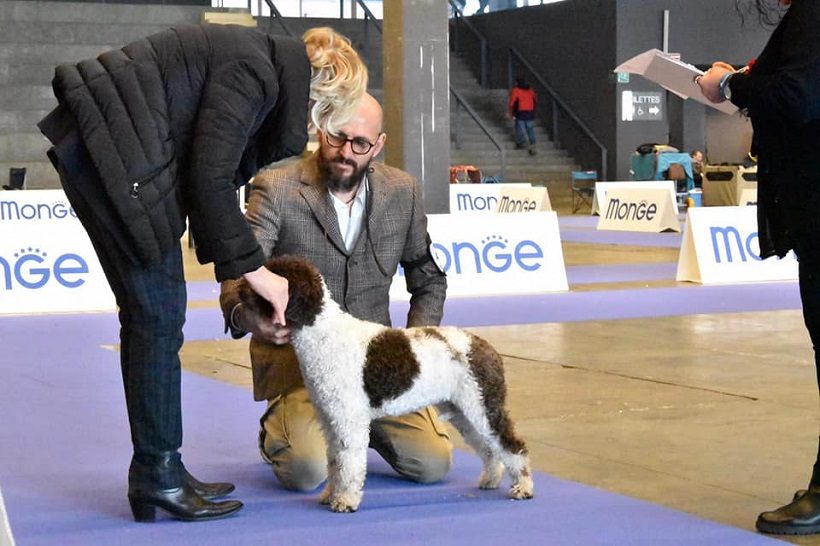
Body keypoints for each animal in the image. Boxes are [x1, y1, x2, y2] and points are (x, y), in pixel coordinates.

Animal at [235, 255, 532, 510]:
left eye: (274, 277)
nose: (239, 288)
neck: (323, 333)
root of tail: (484, 346)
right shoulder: (331, 421)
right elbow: (335, 462)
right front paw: (330, 494)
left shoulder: (348, 421)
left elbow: (350, 464)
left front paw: (345, 501)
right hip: (463, 411)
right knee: (490, 449)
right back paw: (491, 479)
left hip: (482, 405)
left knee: (511, 445)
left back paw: (523, 487)